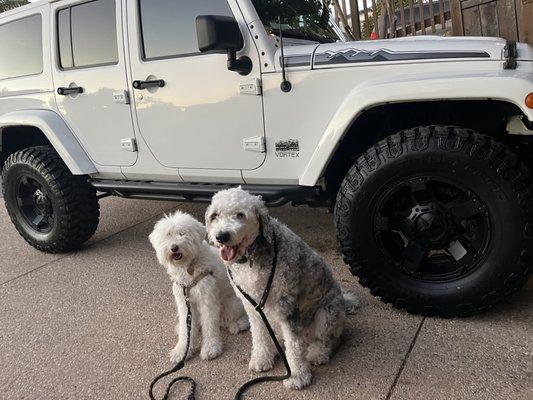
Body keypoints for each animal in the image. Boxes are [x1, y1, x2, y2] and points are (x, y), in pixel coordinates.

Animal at [149, 211, 248, 364]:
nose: (174, 247)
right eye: (168, 235)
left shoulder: (207, 300)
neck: (189, 266)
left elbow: (210, 324)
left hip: (231, 304)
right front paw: (182, 350)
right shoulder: (184, 302)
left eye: (182, 233)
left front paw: (211, 348)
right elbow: (186, 330)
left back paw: (238, 325)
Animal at [204, 188, 358, 390]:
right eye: (215, 215)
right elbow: (259, 334)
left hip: (327, 314)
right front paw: (262, 359)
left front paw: (297, 376)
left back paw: (318, 352)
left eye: (240, 215)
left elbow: (294, 346)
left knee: (328, 340)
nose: (222, 236)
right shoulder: (252, 306)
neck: (251, 258)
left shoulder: (286, 306)